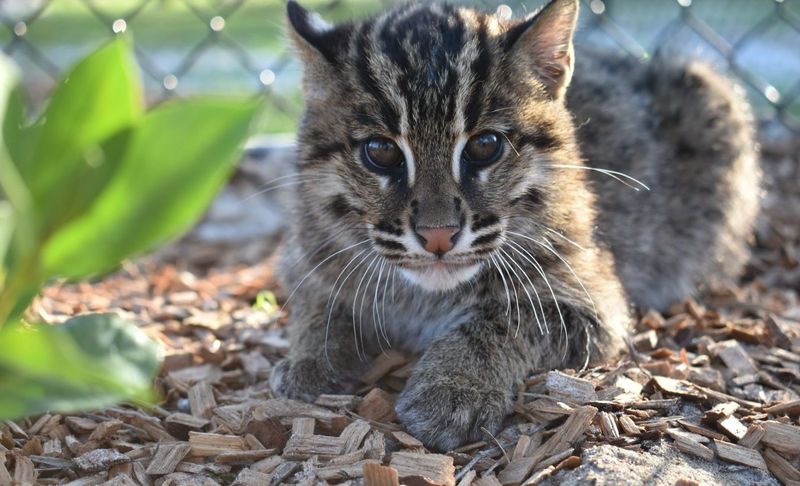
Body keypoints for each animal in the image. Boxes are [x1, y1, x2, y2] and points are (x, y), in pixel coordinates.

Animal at [270, 0, 764, 452]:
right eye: (382, 151)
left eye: (485, 146)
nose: (437, 236)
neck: (424, 295)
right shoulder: (306, 257)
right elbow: (318, 304)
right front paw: (309, 360)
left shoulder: (594, 297)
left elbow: (503, 317)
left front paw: (453, 388)